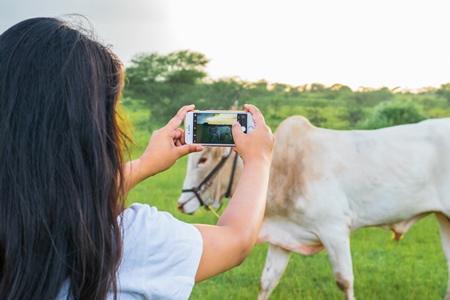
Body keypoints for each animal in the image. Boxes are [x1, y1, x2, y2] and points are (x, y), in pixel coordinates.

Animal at [178, 116, 450, 298]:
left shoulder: (334, 230)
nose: (181, 204)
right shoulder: (282, 236)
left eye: (203, 160)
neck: (282, 169)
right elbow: (267, 282)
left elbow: (344, 281)